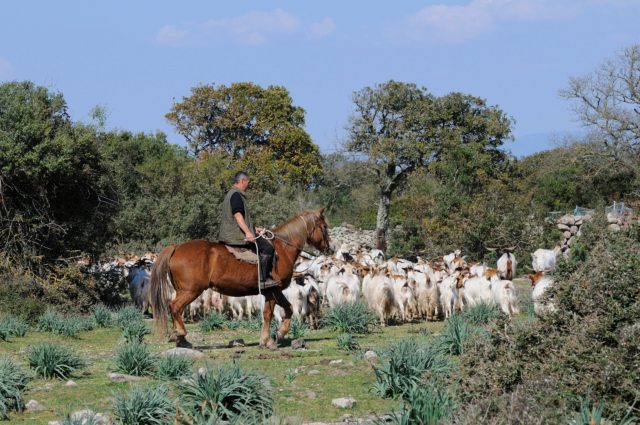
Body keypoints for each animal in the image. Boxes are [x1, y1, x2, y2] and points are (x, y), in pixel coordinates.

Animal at [148, 208, 332, 348]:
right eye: (324, 226)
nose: (329, 249)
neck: (282, 248)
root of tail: (176, 247)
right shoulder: (272, 290)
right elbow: (268, 314)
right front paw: (268, 340)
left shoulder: (275, 291)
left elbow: (289, 309)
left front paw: (279, 334)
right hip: (191, 291)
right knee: (174, 307)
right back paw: (180, 334)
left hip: (183, 291)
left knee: (176, 309)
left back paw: (181, 339)